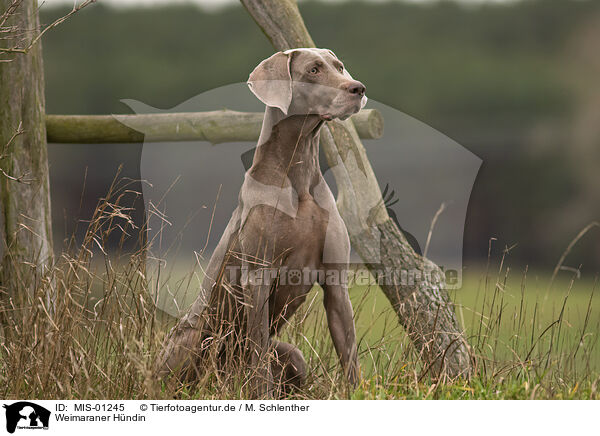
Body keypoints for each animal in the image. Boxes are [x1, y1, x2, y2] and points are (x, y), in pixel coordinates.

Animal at [157, 48, 366, 398]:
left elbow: (349, 353)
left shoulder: (336, 282)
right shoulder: (257, 278)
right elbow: (258, 356)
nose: (358, 88)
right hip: (195, 337)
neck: (297, 174)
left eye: (339, 67)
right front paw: (261, 395)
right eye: (313, 70)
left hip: (293, 355)